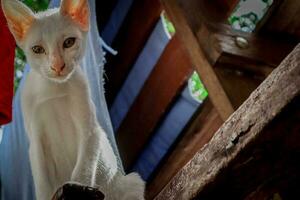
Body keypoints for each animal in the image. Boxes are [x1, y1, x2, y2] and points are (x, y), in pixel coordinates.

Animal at [0, 0, 145, 198]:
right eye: (37, 49)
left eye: (69, 42)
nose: (57, 66)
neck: (54, 90)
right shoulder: (35, 144)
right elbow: (43, 187)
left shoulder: (90, 130)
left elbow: (82, 172)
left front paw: (76, 188)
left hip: (133, 181)